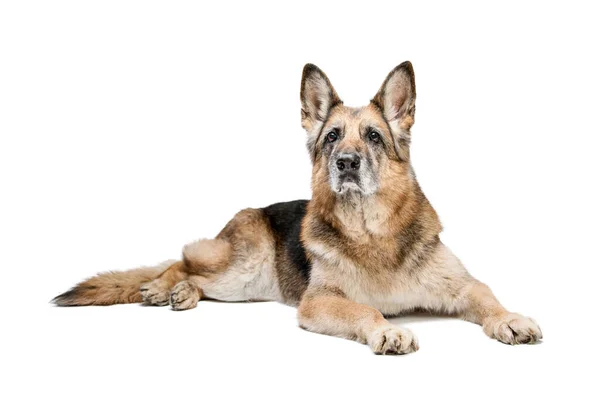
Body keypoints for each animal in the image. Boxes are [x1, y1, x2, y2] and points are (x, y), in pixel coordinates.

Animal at [52, 61, 544, 354]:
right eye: (332, 137)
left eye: (372, 136)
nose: (345, 163)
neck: (373, 233)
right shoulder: (321, 302)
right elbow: (367, 311)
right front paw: (387, 328)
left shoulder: (463, 286)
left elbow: (489, 299)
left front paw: (510, 319)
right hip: (239, 268)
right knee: (183, 261)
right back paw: (160, 287)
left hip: (244, 288)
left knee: (196, 276)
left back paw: (181, 294)